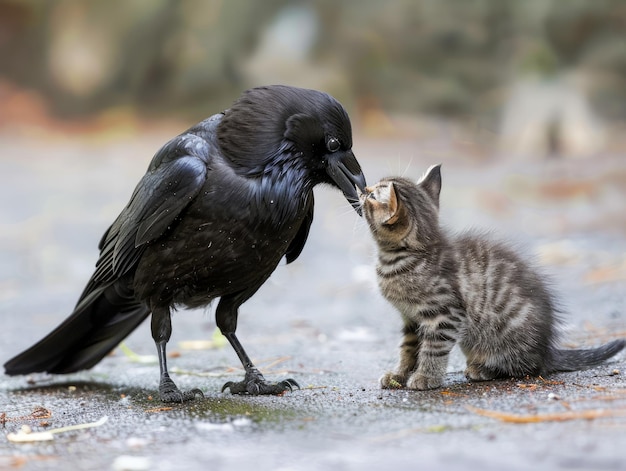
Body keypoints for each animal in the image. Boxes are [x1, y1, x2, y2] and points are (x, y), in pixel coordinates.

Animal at [358, 166, 620, 390]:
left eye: (372, 194)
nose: (362, 189)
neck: (408, 255)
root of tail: (546, 350)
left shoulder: (445, 315)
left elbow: (434, 348)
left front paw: (426, 377)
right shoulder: (411, 319)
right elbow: (408, 349)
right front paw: (399, 375)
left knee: (528, 367)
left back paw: (485, 370)